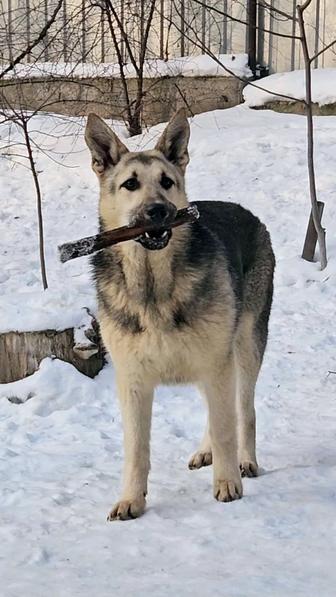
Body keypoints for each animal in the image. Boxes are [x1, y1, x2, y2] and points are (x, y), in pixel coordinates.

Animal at [84, 109, 276, 520]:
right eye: (130, 184)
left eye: (167, 182)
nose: (159, 211)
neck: (154, 285)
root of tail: (247, 212)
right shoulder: (133, 380)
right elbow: (137, 448)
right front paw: (131, 499)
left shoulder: (217, 362)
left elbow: (226, 427)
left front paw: (227, 482)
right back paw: (206, 450)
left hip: (244, 348)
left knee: (243, 409)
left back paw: (245, 460)